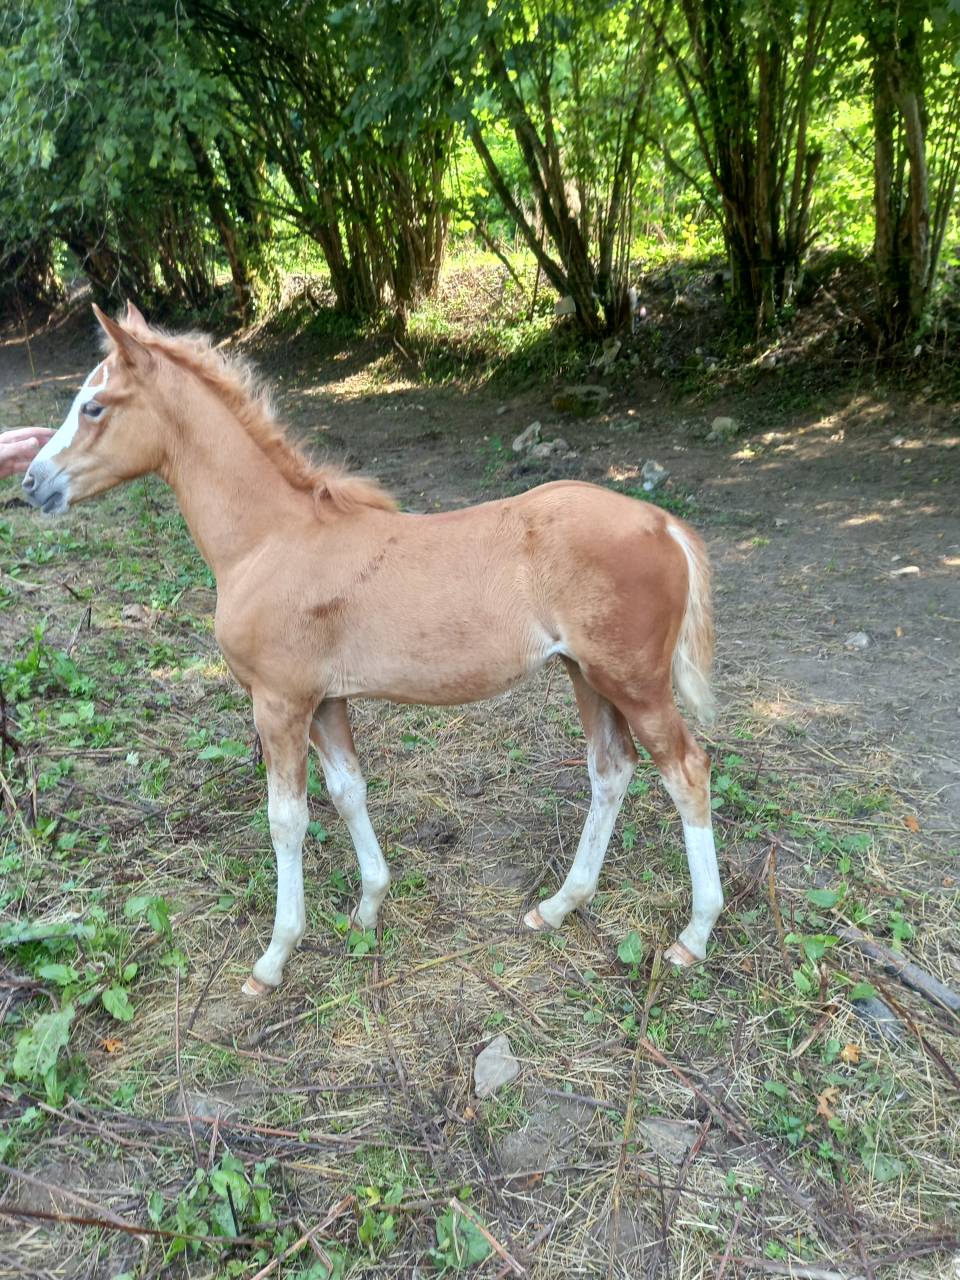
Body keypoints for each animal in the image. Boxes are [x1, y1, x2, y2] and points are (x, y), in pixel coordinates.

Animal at [21, 303, 723, 997]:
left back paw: (693, 936)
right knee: (612, 769)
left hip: (633, 680)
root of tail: (662, 523)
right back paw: (557, 906)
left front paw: (274, 958)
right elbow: (348, 790)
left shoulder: (279, 702)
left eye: (94, 406)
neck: (270, 540)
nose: (31, 482)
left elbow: (287, 819)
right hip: (586, 673)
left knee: (686, 770)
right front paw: (369, 907)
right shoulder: (325, 701)